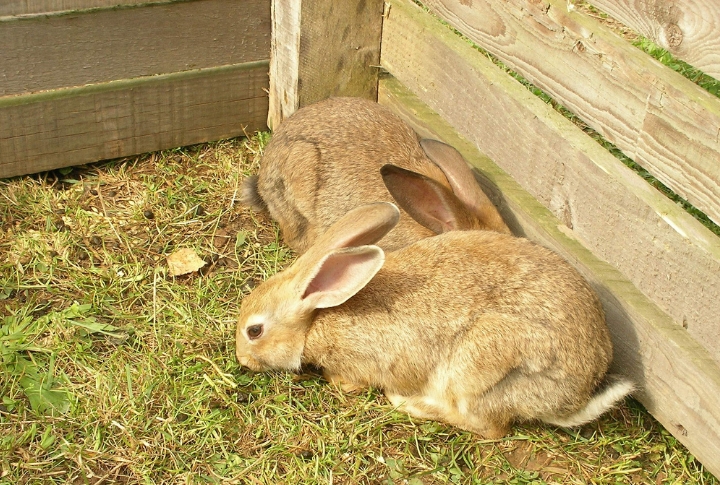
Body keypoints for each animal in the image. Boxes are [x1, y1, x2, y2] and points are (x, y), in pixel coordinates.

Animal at [235, 199, 634, 439]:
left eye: (254, 331)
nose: (242, 361)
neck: (316, 318)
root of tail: (572, 400)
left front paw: (340, 383)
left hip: (482, 362)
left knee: (487, 425)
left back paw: (411, 404)